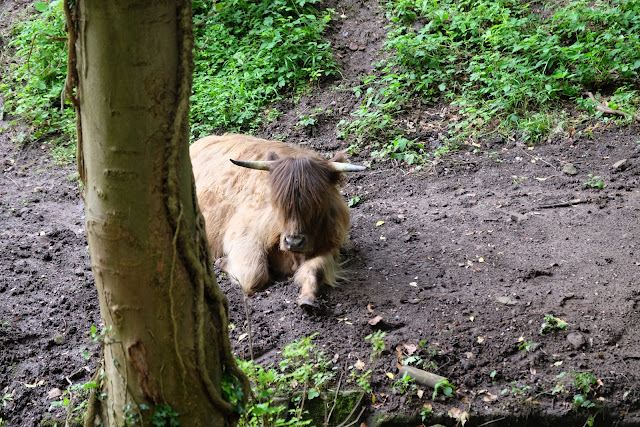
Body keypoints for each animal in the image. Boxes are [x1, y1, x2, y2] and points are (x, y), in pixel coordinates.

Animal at [190, 134, 364, 308]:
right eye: (278, 201)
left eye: (318, 202)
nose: (294, 242)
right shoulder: (244, 235)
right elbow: (254, 274)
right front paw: (221, 262)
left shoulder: (328, 246)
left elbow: (315, 269)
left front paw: (307, 300)